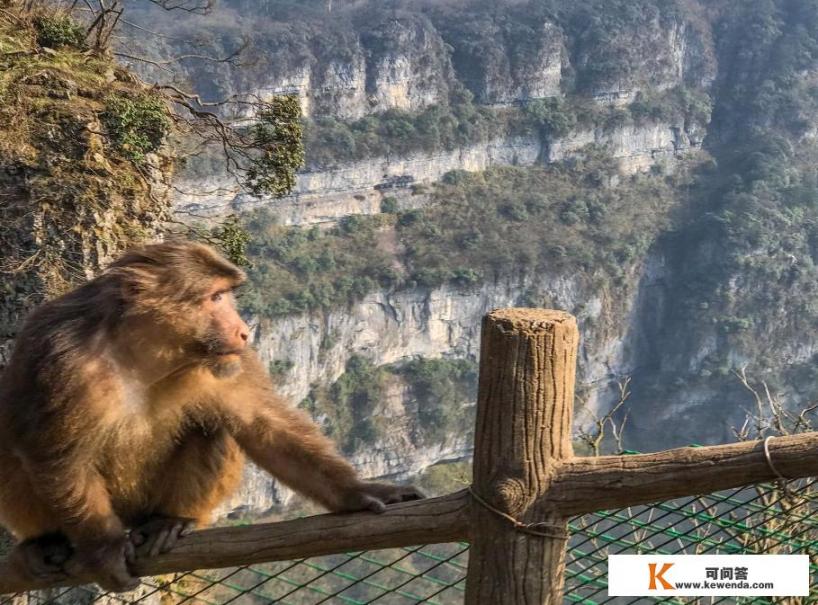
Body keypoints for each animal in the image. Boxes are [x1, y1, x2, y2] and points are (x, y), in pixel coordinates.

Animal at [0, 239, 420, 588]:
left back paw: (170, 522)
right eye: (215, 297)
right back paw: (44, 543)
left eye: (226, 296)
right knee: (17, 451)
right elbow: (57, 454)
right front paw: (103, 548)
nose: (245, 329)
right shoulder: (59, 356)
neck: (143, 352)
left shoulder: (227, 360)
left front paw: (358, 492)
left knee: (212, 427)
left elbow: (262, 422)